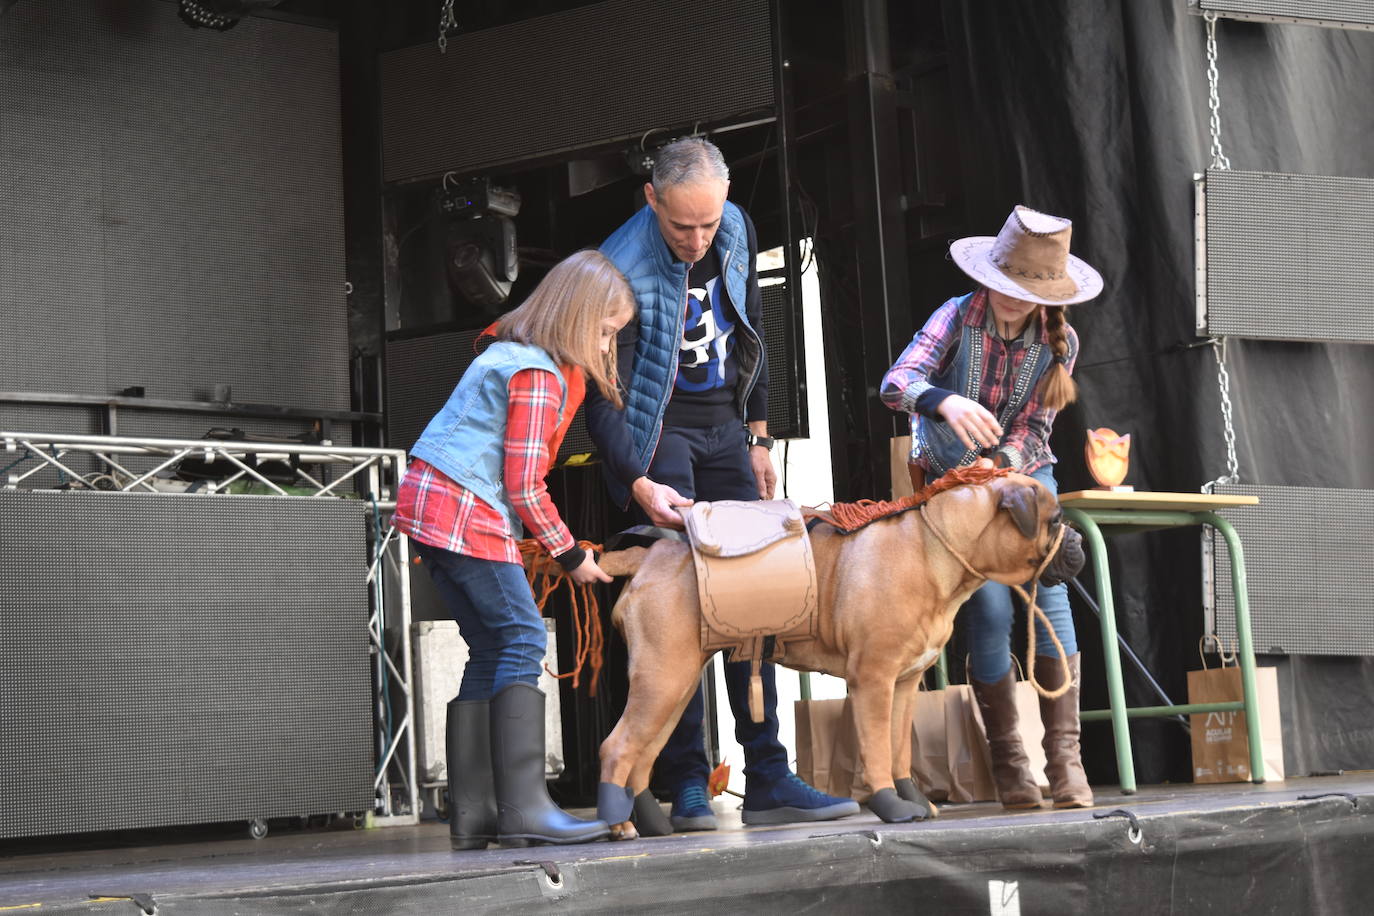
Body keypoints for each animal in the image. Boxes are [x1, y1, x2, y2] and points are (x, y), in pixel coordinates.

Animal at [590, 472, 1082, 840]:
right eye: (1055, 518)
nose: (1077, 539)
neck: (937, 549)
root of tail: (645, 556)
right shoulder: (873, 679)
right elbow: (877, 748)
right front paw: (891, 807)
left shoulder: (904, 683)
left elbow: (899, 748)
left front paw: (914, 799)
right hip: (663, 678)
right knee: (616, 747)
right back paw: (618, 826)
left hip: (674, 685)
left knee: (642, 754)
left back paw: (650, 823)